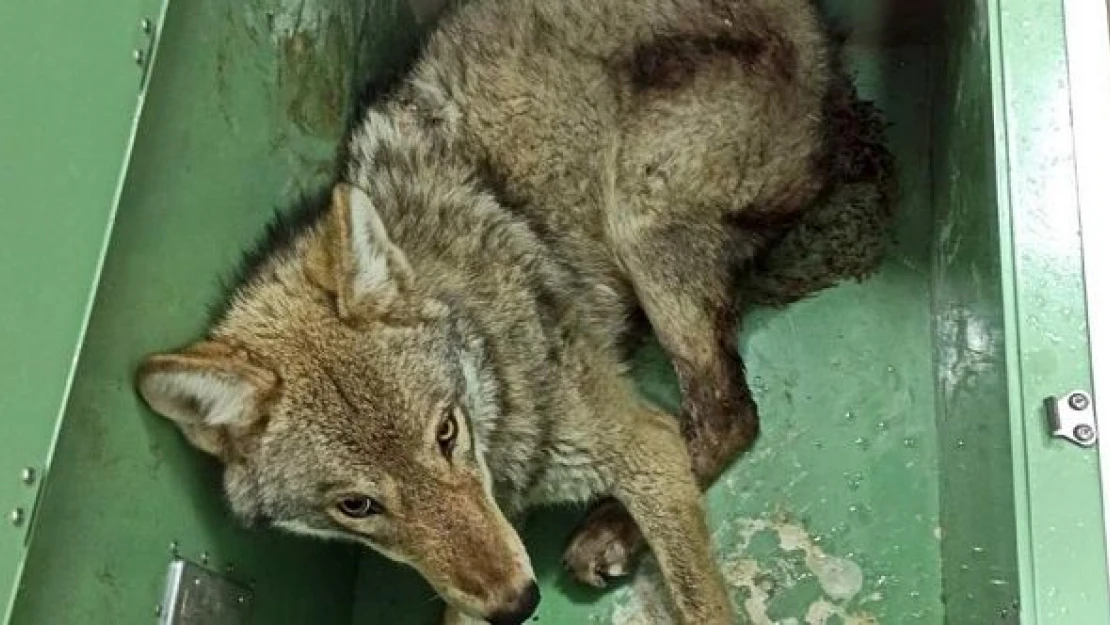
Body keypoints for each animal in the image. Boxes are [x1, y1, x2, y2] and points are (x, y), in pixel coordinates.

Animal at [132, 0, 892, 621]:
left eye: (445, 432)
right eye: (356, 505)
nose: (518, 604)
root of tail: (817, 28)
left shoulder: (643, 443)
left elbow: (701, 594)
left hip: (637, 215)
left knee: (726, 411)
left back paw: (609, 530)